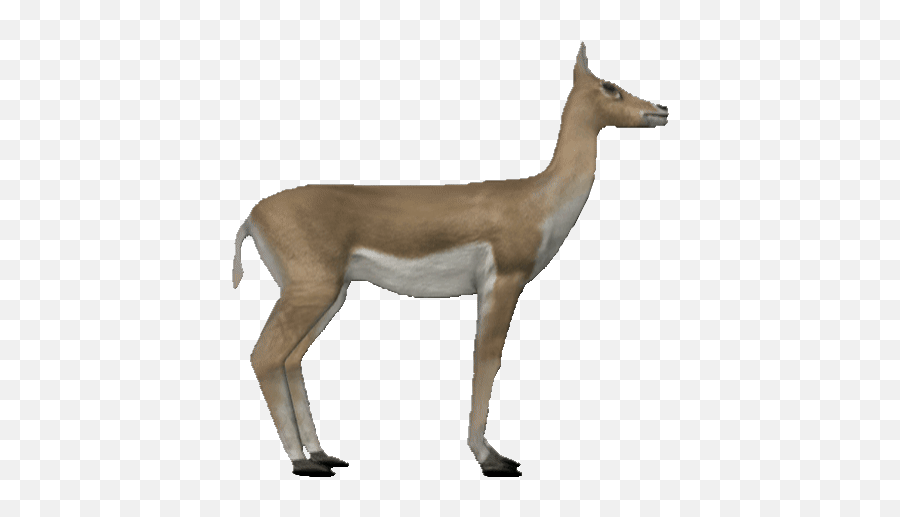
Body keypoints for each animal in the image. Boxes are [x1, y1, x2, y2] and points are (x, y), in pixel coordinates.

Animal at [232, 42, 669, 477]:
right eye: (610, 86)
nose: (660, 109)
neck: (536, 200)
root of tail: (251, 217)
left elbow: (483, 357)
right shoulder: (504, 281)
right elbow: (487, 358)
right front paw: (492, 458)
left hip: (331, 294)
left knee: (290, 359)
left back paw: (323, 456)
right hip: (311, 291)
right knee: (264, 356)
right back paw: (301, 462)